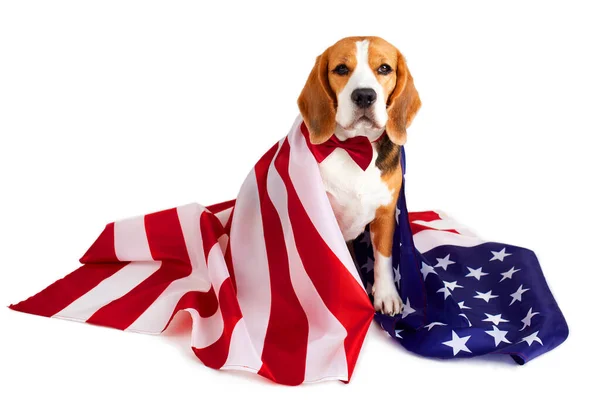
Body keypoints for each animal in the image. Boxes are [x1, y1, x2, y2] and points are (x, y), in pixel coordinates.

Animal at [296, 36, 420, 316]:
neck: (357, 148)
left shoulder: (385, 214)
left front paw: (386, 296)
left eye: (384, 68)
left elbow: (383, 258)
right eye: (341, 69)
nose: (364, 95)